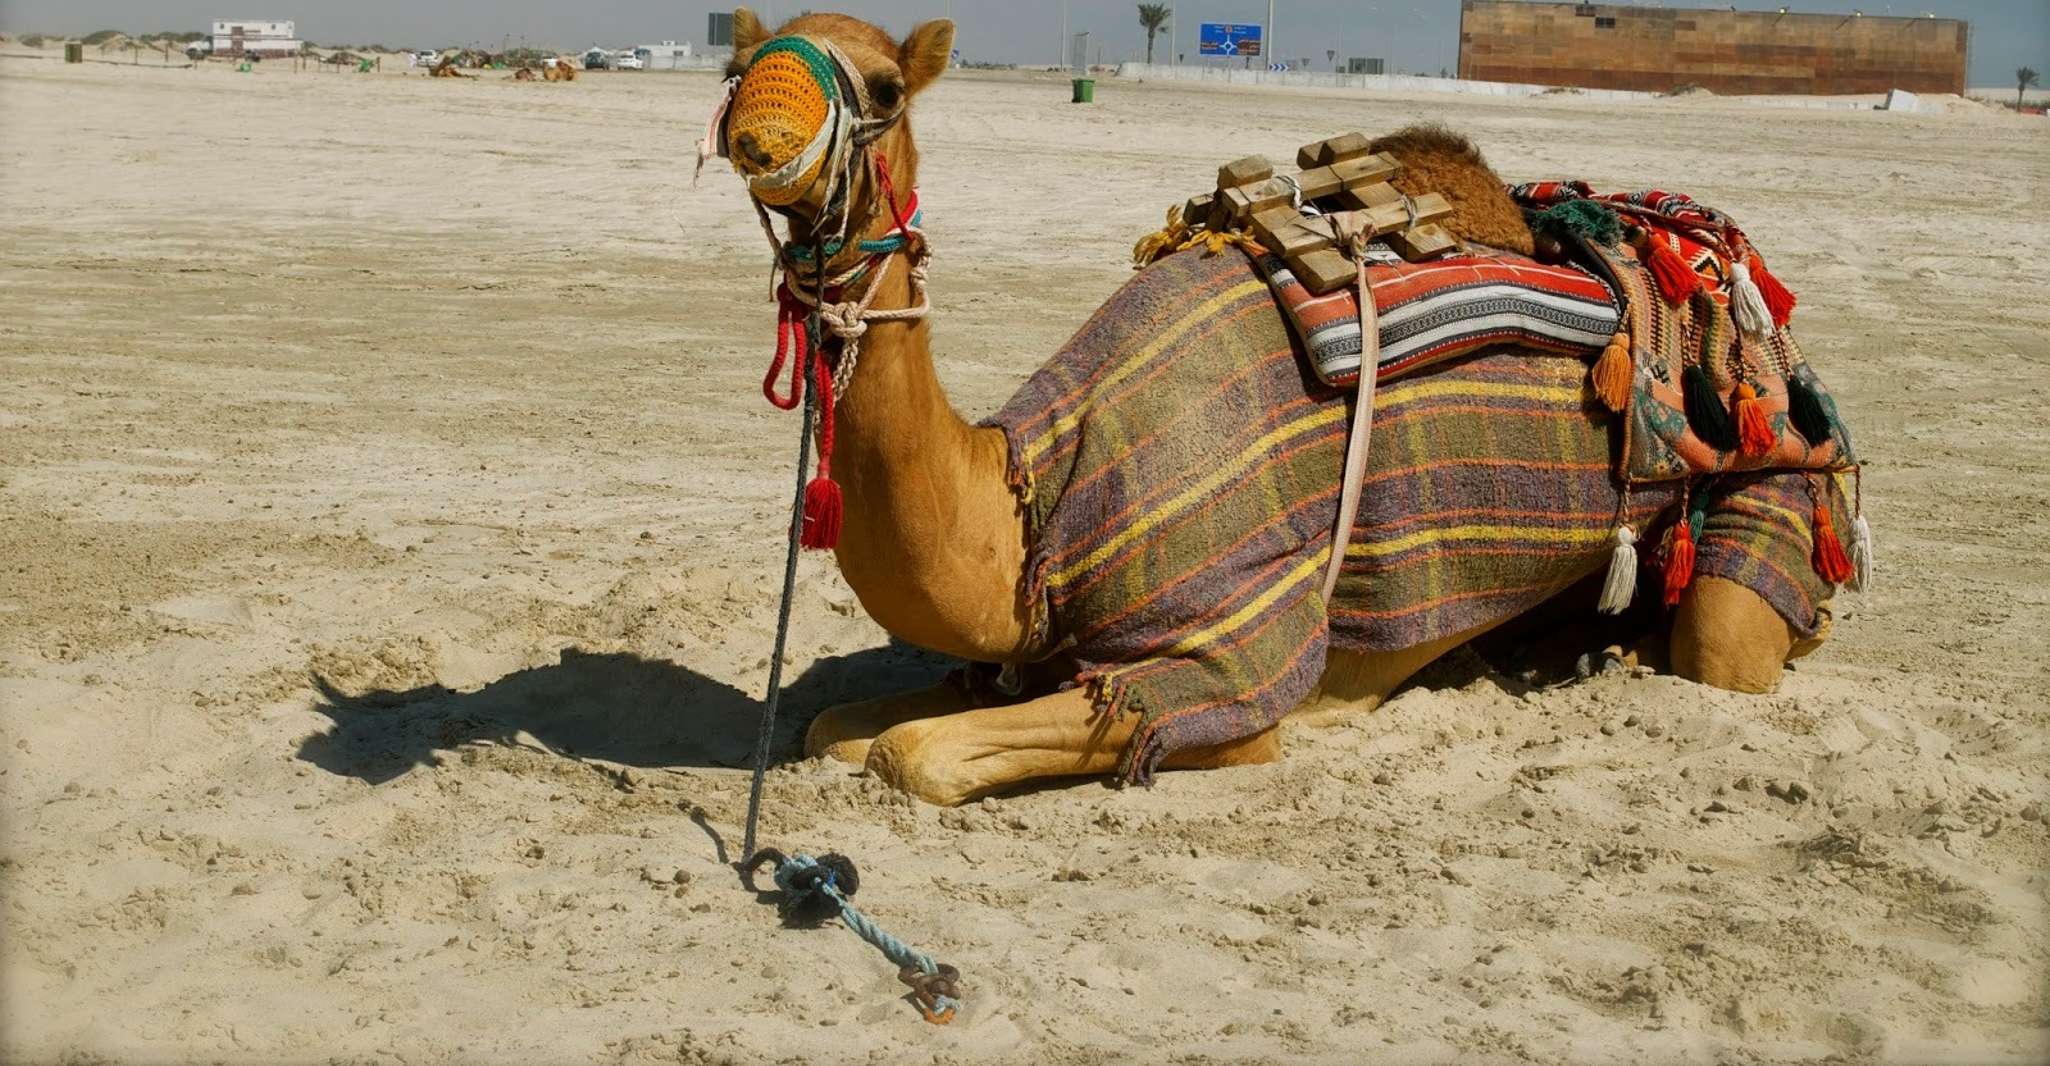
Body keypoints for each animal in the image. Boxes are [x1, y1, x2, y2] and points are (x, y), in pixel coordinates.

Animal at [712, 9, 1830, 806]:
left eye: (886, 88)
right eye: (743, 60)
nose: (758, 133)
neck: (1036, 506)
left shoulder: (1219, 660)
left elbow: (911, 756)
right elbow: (835, 730)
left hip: (1774, 488)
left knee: (1724, 643)